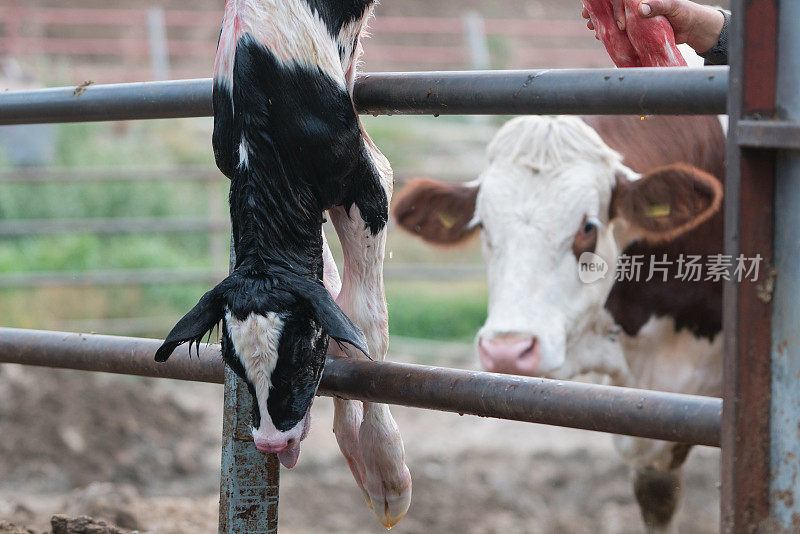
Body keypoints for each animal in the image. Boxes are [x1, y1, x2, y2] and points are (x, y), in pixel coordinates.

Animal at [155, 0, 412, 528]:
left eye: (298, 356)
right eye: (230, 360)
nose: (273, 443)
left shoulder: (367, 185)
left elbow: (363, 322)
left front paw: (383, 469)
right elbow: (335, 303)